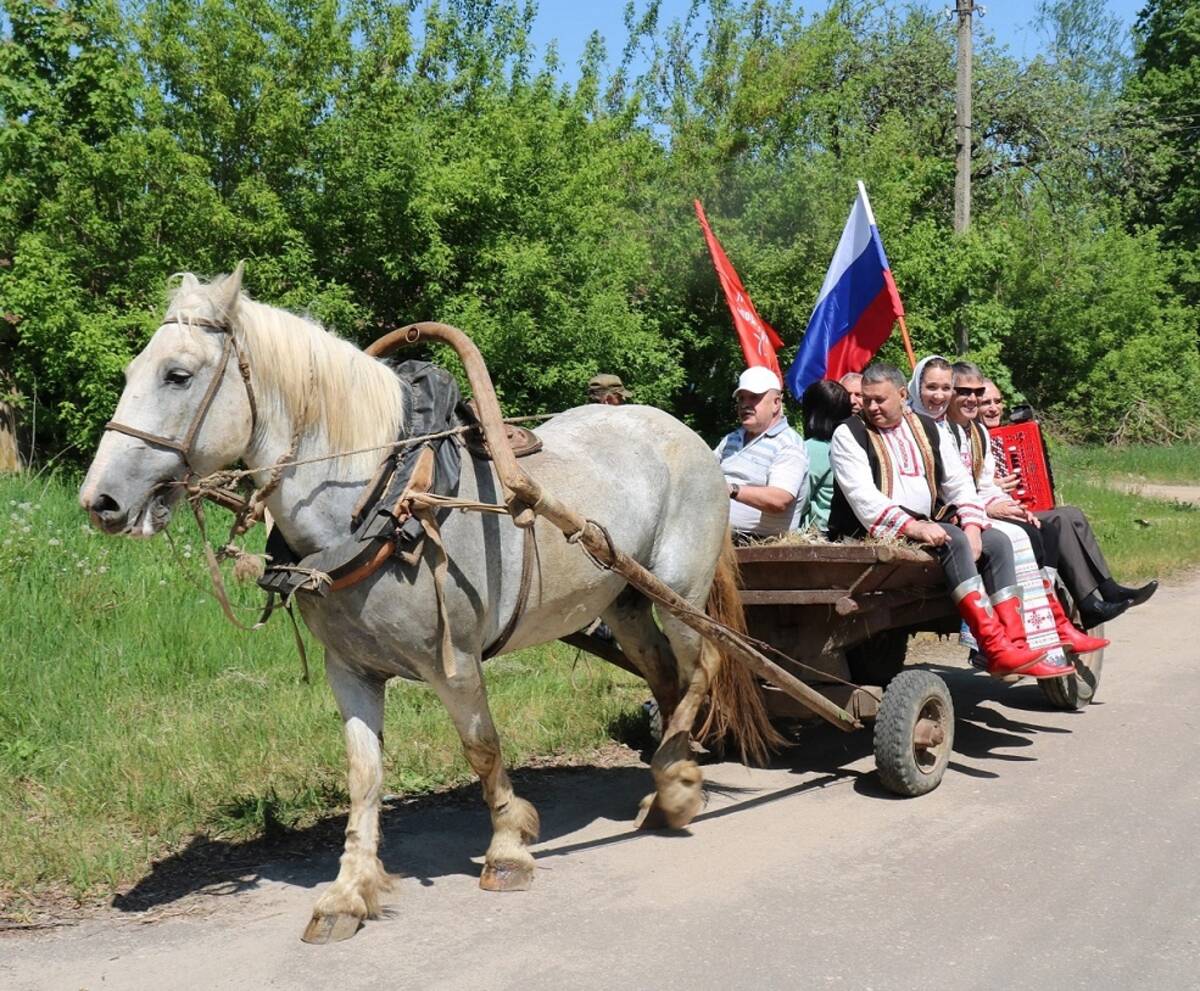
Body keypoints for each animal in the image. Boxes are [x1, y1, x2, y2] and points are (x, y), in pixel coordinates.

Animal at [79, 263, 772, 940]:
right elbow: (363, 775)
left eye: (178, 375)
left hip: (679, 588)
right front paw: (348, 893)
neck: (384, 499)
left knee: (704, 666)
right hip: (624, 601)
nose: (100, 502)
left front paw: (508, 847)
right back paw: (670, 779)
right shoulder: (349, 670)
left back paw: (676, 787)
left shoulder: (456, 662)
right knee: (664, 675)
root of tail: (681, 432)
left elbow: (481, 747)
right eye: (129, 372)